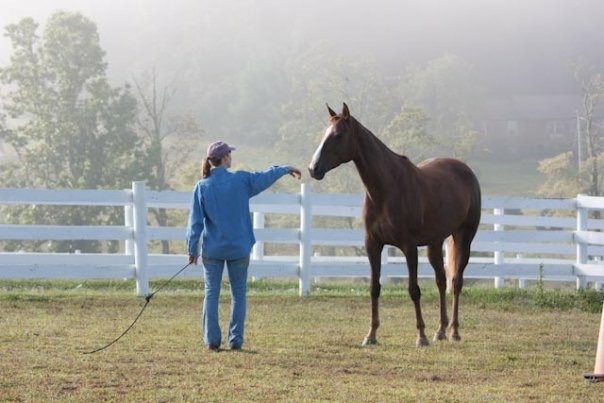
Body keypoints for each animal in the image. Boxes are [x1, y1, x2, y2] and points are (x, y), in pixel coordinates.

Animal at [310, 103, 478, 348]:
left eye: (339, 135)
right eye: (325, 133)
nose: (313, 169)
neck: (387, 188)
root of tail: (466, 171)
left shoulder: (409, 247)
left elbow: (414, 290)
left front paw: (421, 336)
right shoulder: (373, 245)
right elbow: (374, 288)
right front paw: (371, 335)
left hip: (463, 237)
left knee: (456, 282)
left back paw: (454, 332)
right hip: (435, 243)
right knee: (440, 281)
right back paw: (440, 331)